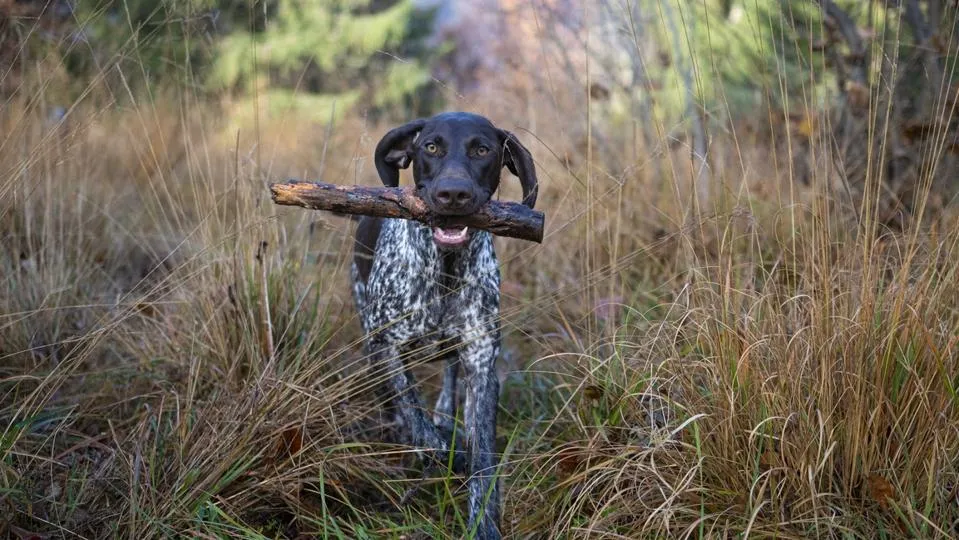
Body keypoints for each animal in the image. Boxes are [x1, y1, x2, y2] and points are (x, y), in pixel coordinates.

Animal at [348, 112, 536, 536]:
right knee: (393, 402)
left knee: (449, 378)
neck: (444, 271)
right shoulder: (387, 346)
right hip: (368, 333)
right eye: (430, 147)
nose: (453, 194)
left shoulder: (481, 363)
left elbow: (482, 457)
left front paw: (484, 524)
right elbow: (414, 415)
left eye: (482, 149)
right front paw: (444, 452)